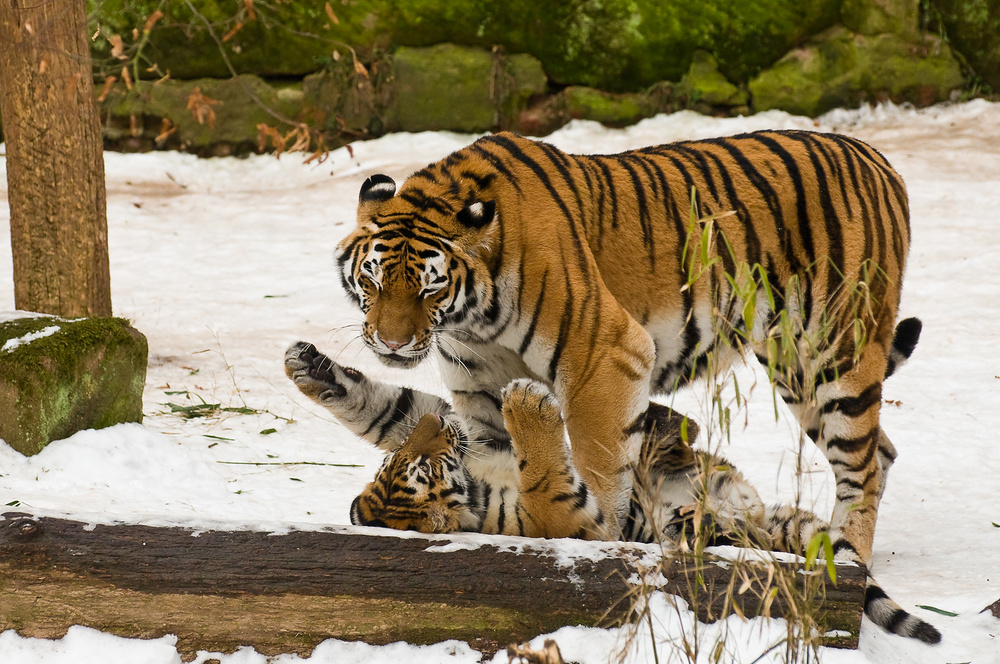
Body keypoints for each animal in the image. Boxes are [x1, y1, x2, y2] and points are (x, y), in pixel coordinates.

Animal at [300, 127, 932, 640]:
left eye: (429, 287)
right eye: (372, 279)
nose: (392, 343)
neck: (470, 316)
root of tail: (880, 159)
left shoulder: (605, 352)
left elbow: (599, 466)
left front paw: (601, 542)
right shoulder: (478, 393)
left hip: (833, 347)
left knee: (862, 463)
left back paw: (848, 565)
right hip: (796, 365)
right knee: (883, 448)